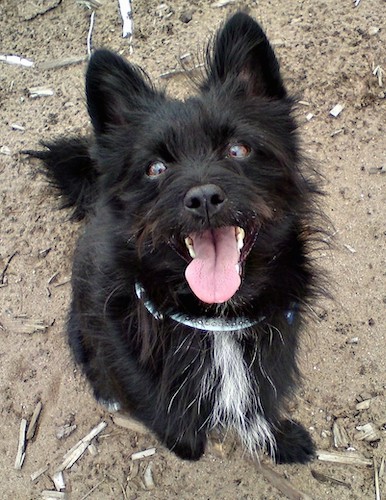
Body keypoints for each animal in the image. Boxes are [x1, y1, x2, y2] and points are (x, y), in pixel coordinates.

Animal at [28, 11, 322, 462]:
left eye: (238, 149)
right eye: (155, 168)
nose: (203, 199)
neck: (217, 321)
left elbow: (261, 404)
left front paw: (282, 441)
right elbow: (173, 423)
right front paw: (187, 443)